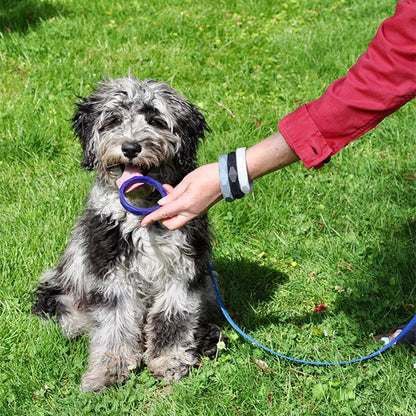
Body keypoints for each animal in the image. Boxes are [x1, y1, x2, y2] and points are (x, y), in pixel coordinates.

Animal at [33, 78, 226, 394]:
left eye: (156, 121)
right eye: (114, 120)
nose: (131, 147)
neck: (142, 212)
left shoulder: (182, 272)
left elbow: (173, 319)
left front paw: (169, 361)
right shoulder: (113, 275)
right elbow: (114, 326)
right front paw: (107, 373)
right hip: (61, 289)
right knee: (69, 317)